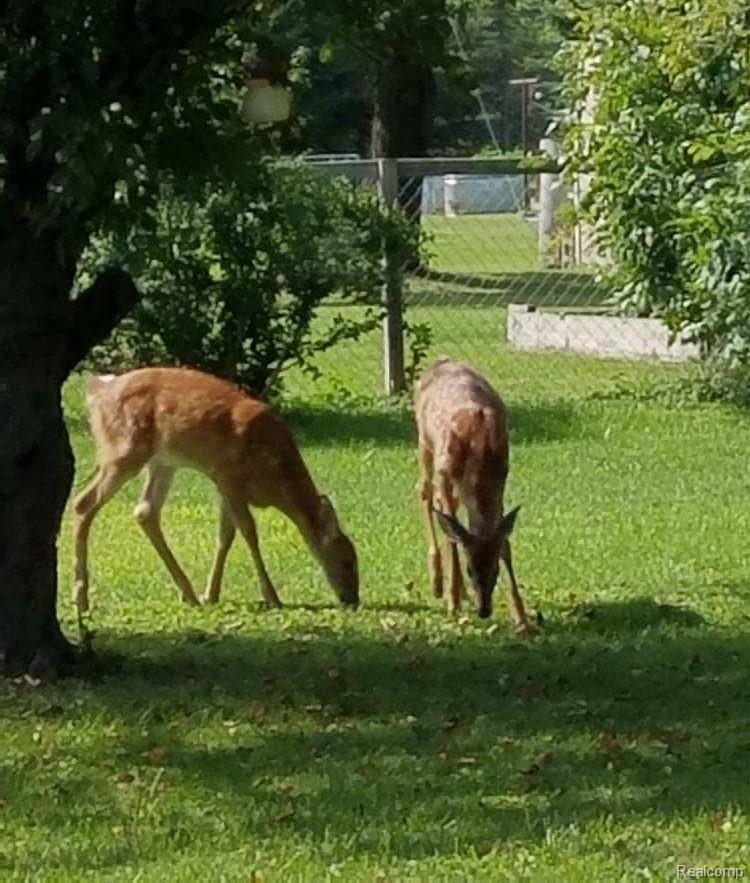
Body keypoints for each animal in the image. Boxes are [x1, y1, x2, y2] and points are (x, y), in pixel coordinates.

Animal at [71, 367, 359, 614]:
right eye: (348, 560)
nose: (353, 599)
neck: (276, 480)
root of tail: (97, 392)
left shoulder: (223, 484)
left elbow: (225, 535)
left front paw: (211, 594)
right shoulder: (228, 476)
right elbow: (249, 532)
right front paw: (272, 597)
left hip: (163, 462)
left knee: (145, 511)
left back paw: (188, 593)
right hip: (124, 449)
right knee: (83, 503)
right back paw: (81, 597)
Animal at [414, 357, 529, 632]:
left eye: (495, 571)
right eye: (470, 570)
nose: (484, 610)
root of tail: (440, 360)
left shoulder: (500, 480)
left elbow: (504, 542)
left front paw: (522, 618)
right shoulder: (445, 474)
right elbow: (453, 539)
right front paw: (452, 602)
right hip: (425, 445)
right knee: (425, 495)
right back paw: (438, 581)